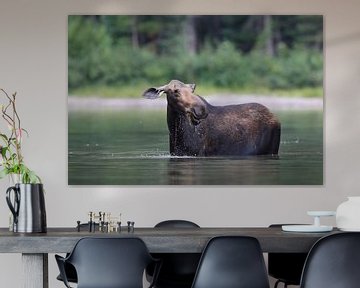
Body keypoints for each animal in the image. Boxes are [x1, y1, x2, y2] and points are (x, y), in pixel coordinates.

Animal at [142, 80, 280, 156]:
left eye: (192, 90)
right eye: (175, 91)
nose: (201, 109)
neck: (176, 133)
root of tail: (275, 117)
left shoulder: (198, 153)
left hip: (272, 149)